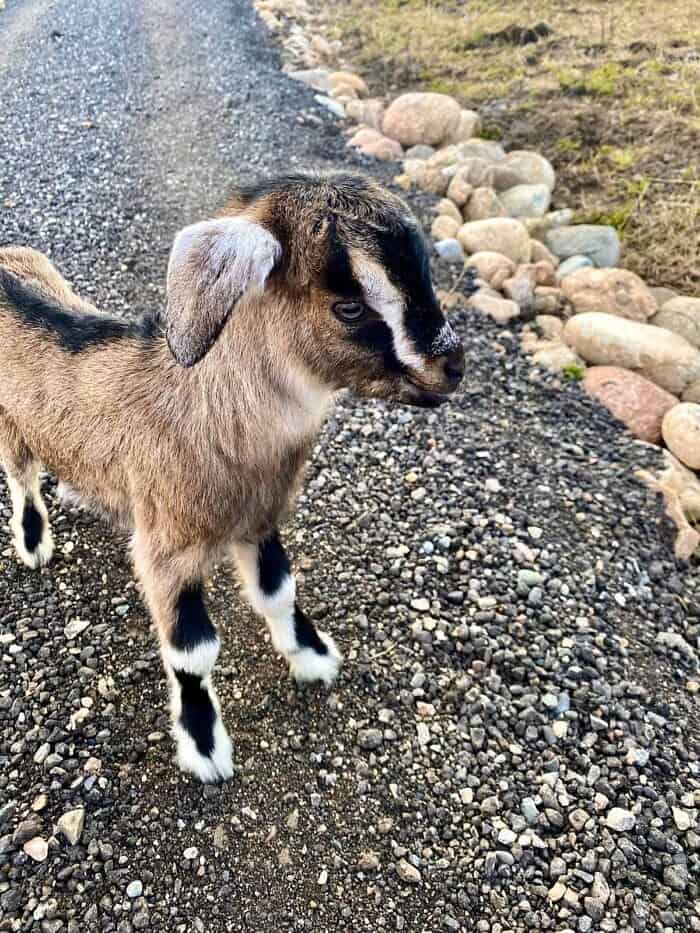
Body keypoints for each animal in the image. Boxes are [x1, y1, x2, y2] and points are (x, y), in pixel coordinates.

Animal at [0, 172, 465, 782]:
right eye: (348, 307)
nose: (453, 366)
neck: (205, 408)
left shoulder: (259, 519)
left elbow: (279, 591)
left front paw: (313, 656)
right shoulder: (166, 547)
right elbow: (191, 651)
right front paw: (204, 747)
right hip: (9, 426)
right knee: (21, 476)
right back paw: (33, 541)